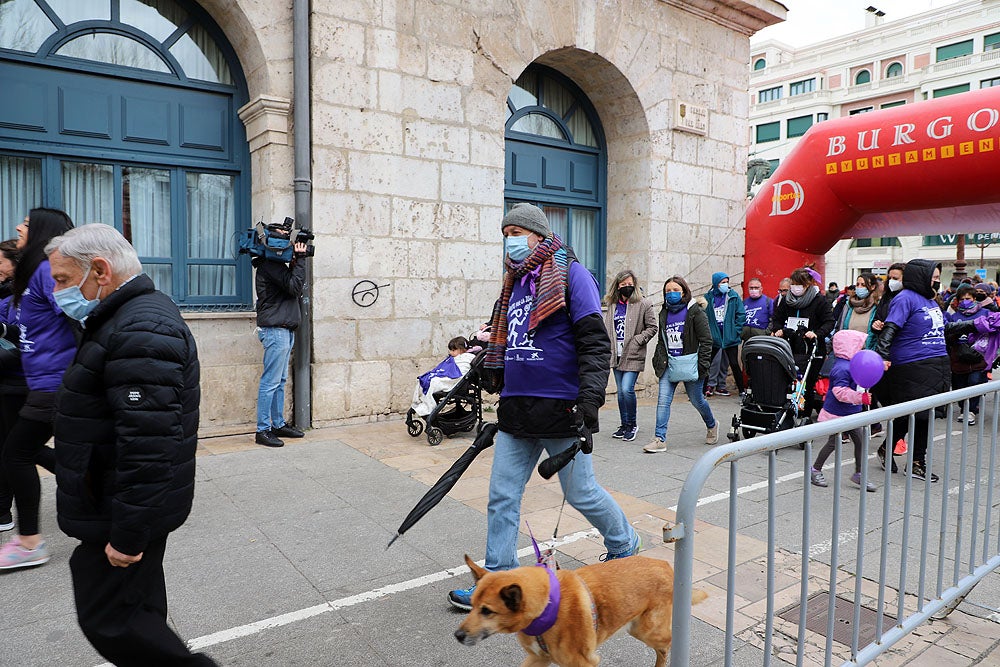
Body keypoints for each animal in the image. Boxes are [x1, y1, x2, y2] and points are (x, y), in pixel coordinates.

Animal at [458, 552, 708, 667]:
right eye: (473, 605)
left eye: (487, 611)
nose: (457, 635)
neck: (547, 609)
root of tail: (665, 566)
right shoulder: (537, 659)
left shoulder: (584, 663)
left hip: (646, 631)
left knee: (667, 644)